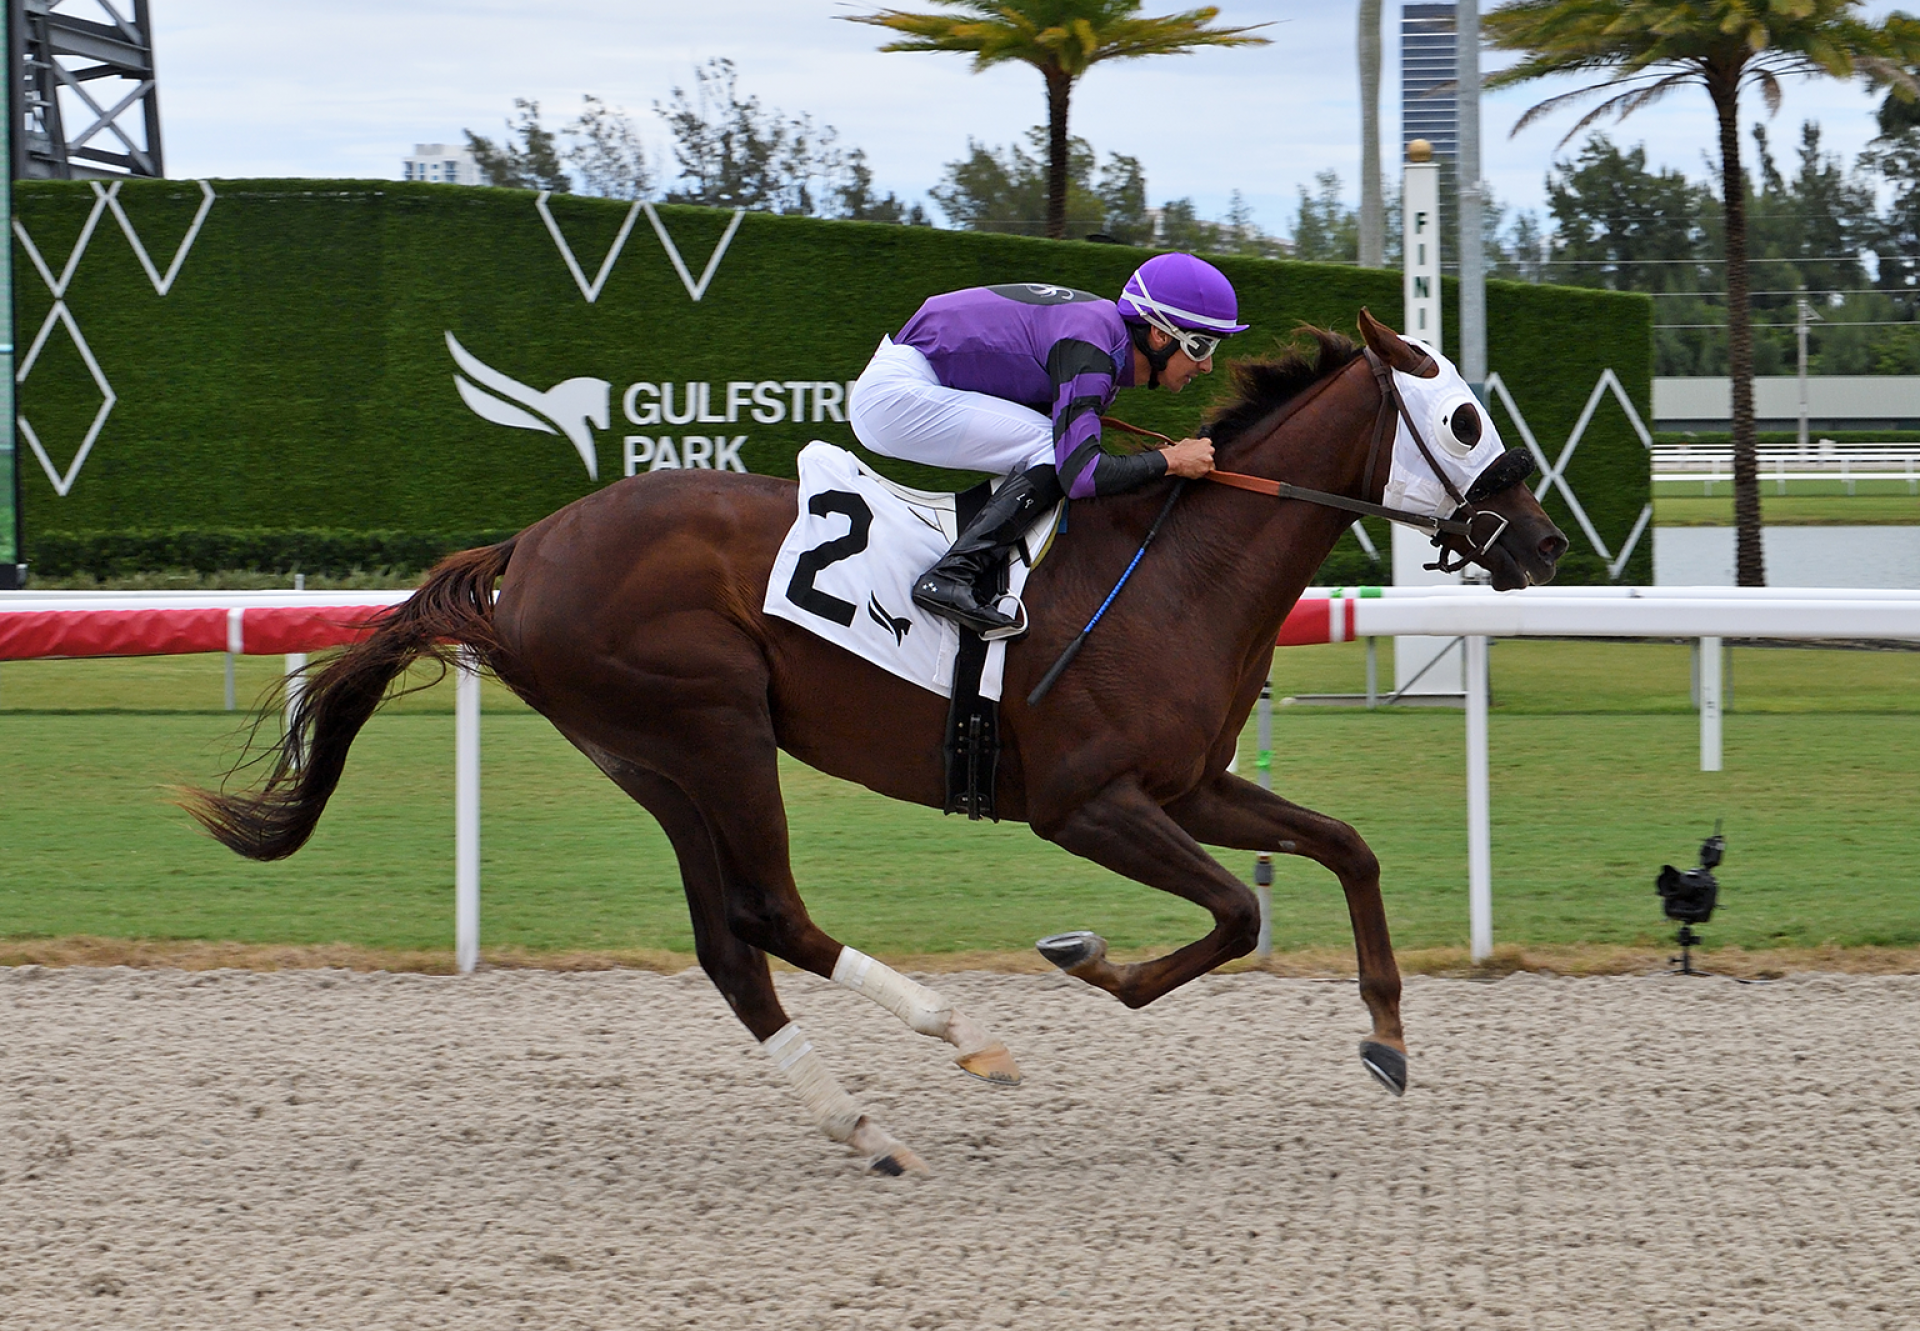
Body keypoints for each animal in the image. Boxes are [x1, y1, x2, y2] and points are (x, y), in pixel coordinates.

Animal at [191, 311, 1559, 1175]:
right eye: (1465, 418)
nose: (1544, 545)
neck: (1177, 568)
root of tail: (526, 547)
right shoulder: (1085, 800)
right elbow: (1236, 910)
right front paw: (1087, 961)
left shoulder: (1191, 784)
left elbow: (1344, 848)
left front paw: (1387, 1035)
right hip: (714, 727)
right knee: (773, 914)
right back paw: (959, 1037)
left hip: (652, 758)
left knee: (731, 946)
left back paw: (866, 1127)